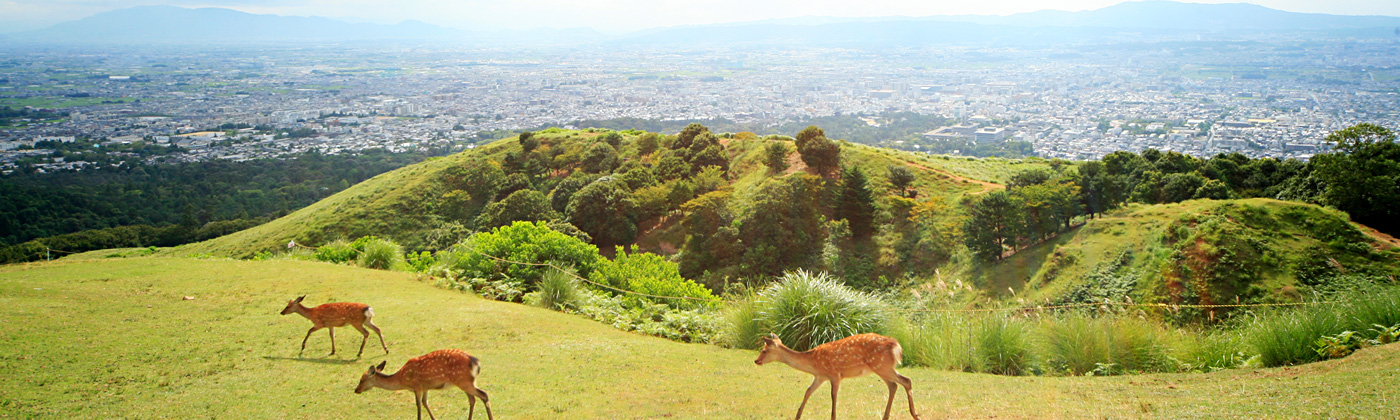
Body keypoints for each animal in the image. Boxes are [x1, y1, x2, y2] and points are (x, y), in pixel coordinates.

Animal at [355, 347, 492, 420]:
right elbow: (425, 403)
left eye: (361, 379)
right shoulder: (426, 387)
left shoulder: (417, 386)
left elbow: (419, 405)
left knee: (484, 394)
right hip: (465, 382)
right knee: (472, 399)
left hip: (463, 381)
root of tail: (476, 363)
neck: (402, 380)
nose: (356, 390)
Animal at [756, 331, 918, 420]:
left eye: (764, 350)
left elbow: (833, 396)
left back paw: (914, 414)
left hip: (882, 366)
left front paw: (833, 417)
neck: (813, 363)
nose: (756, 360)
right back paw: (886, 416)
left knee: (906, 380)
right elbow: (808, 391)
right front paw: (797, 416)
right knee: (894, 385)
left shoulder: (834, 374)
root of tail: (896, 346)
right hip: (881, 367)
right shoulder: (820, 377)